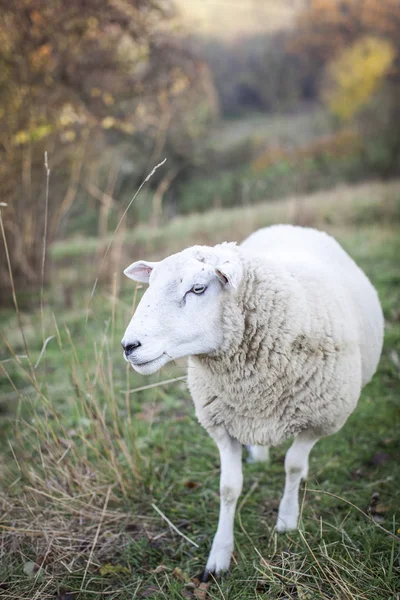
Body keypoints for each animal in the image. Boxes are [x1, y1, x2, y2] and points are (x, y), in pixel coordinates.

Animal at [120, 224, 382, 576]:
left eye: (198, 288)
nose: (128, 346)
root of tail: (289, 226)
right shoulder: (223, 426)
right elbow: (229, 489)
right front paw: (219, 556)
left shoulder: (319, 420)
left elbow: (293, 465)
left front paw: (287, 520)